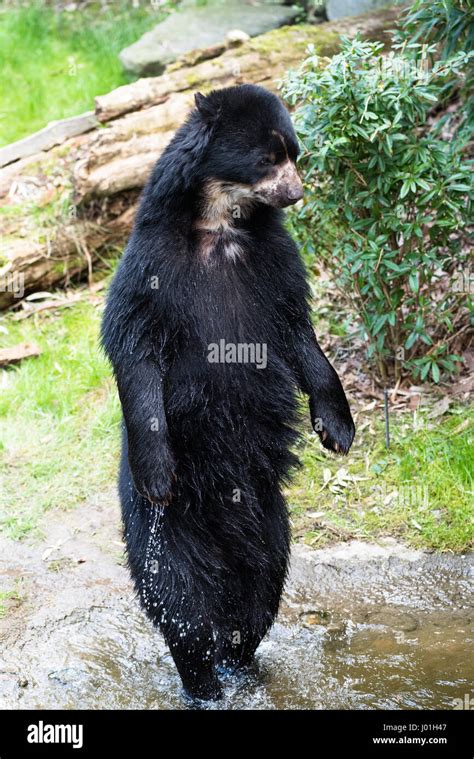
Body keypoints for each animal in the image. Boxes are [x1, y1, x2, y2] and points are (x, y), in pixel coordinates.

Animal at [103, 83, 356, 700]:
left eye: (295, 154)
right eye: (268, 159)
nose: (297, 192)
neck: (221, 224)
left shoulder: (274, 263)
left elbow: (299, 335)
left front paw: (337, 429)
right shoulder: (151, 268)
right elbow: (134, 348)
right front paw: (159, 475)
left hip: (271, 526)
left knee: (257, 599)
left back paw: (244, 668)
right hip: (166, 534)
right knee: (180, 606)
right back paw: (204, 686)